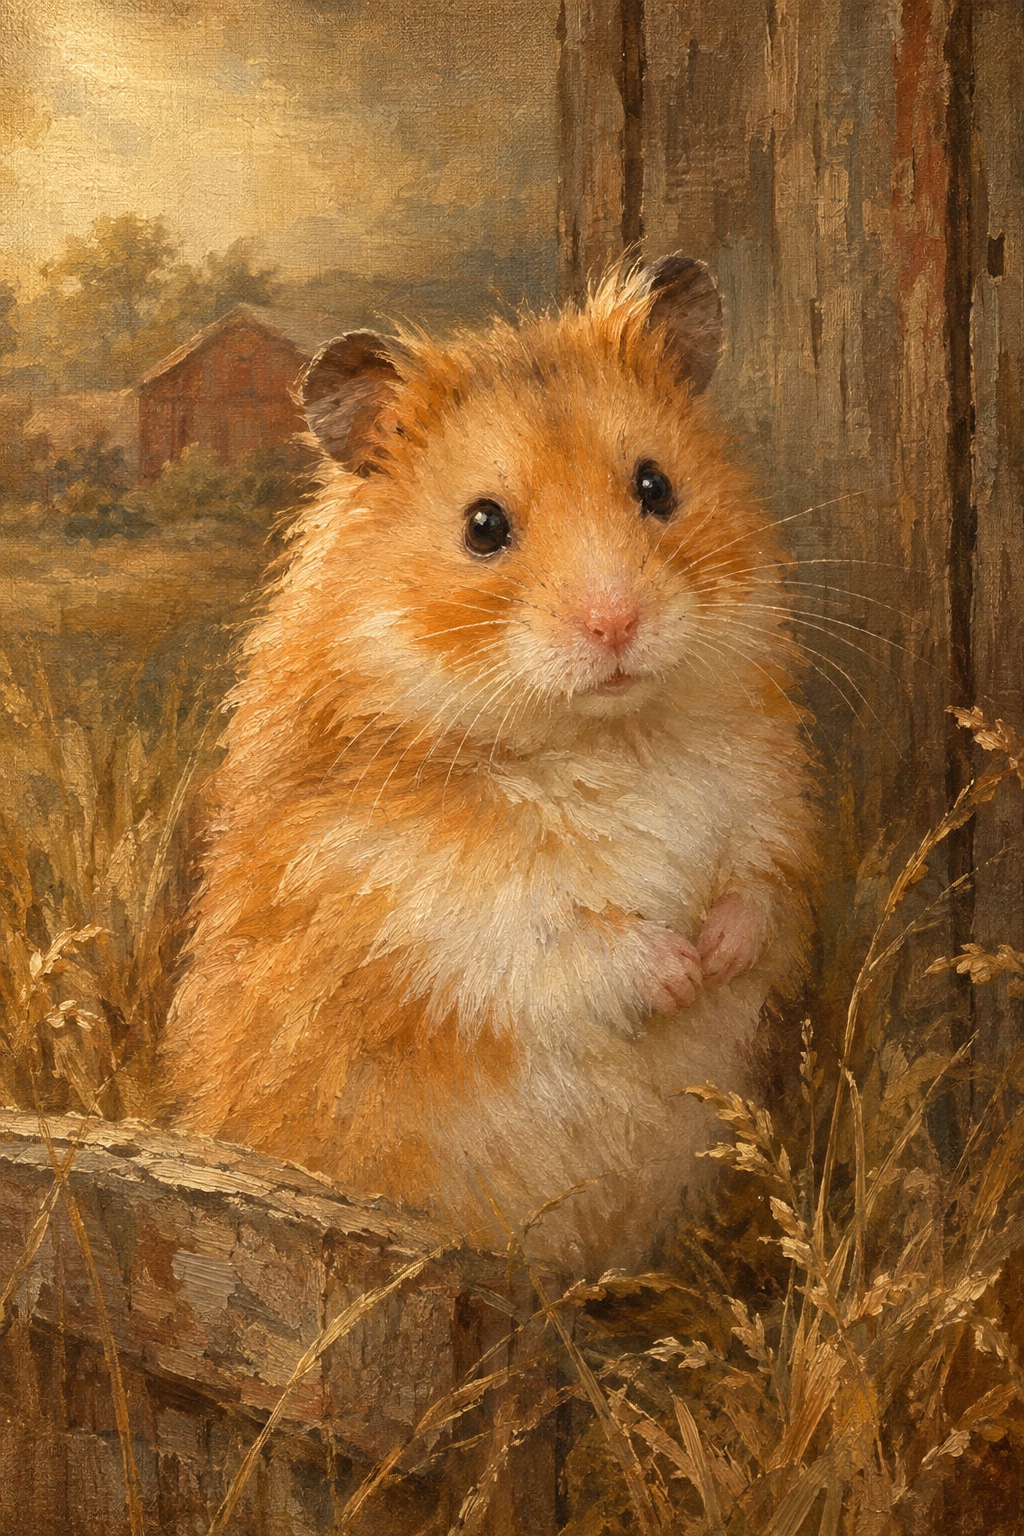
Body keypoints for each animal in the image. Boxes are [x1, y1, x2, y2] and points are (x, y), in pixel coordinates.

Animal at [162, 256, 816, 1276]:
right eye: (482, 525)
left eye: (656, 485)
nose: (617, 624)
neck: (600, 735)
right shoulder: (423, 906)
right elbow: (566, 938)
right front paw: (677, 971)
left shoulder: (770, 813)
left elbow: (757, 897)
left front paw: (718, 955)